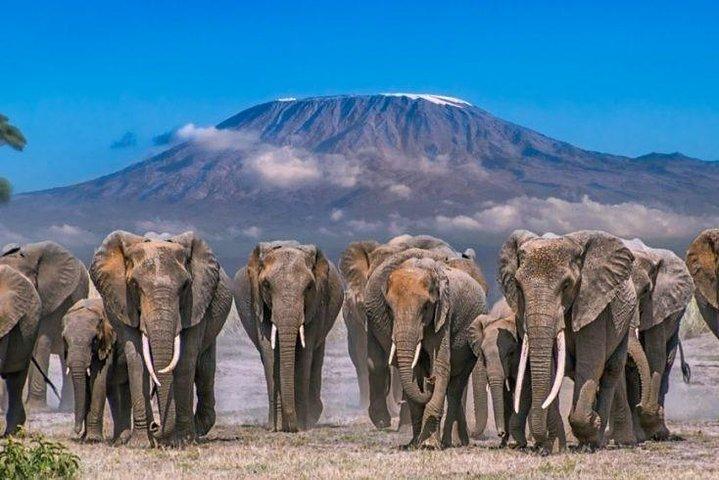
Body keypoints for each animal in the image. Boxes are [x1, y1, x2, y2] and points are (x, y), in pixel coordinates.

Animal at [62, 298, 131, 443]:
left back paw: (121, 439)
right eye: (65, 340)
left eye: (94, 340)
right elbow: (86, 385)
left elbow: (98, 380)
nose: (76, 431)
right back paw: (117, 438)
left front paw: (93, 439)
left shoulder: (108, 343)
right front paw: (85, 438)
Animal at [90, 231, 232, 446]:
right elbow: (137, 359)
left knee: (205, 368)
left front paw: (181, 442)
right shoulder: (122, 303)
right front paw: (141, 443)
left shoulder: (196, 302)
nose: (155, 426)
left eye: (185, 286)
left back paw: (197, 430)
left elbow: (185, 360)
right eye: (134, 285)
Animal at [234, 241, 344, 432]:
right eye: (266, 285)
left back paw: (313, 414)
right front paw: (276, 427)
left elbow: (304, 356)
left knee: (316, 356)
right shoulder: (259, 303)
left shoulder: (316, 303)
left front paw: (301, 425)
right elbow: (269, 354)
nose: (291, 427)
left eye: (309, 286)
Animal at [498, 230, 637, 453]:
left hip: (625, 323)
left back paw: (595, 441)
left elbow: (591, 363)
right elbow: (551, 368)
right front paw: (556, 448)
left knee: (611, 371)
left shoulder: (594, 304)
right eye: (518, 286)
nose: (539, 444)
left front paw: (592, 425)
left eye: (566, 285)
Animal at [610, 239, 694, 444]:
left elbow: (655, 354)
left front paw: (648, 422)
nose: (644, 407)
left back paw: (659, 433)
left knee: (666, 361)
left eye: (646, 291)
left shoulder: (659, 304)